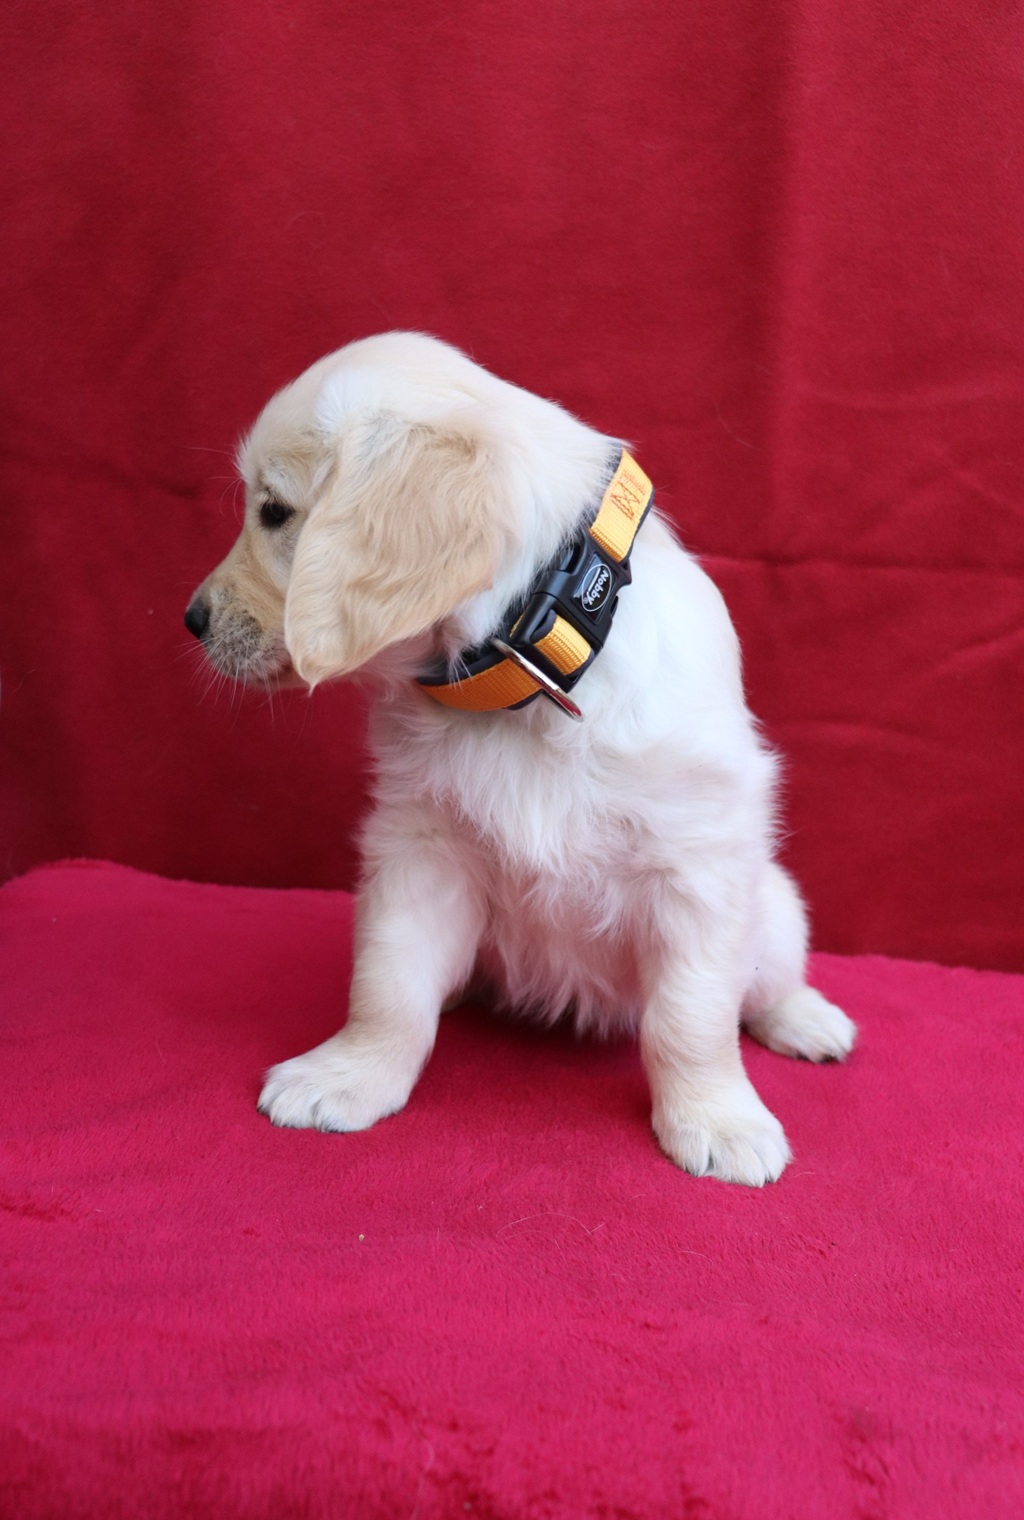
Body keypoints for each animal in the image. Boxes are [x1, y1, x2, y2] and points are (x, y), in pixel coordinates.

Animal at [185, 332, 855, 1185]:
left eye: (274, 511)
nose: (192, 619)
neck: (528, 682)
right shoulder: (417, 851)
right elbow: (388, 986)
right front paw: (351, 1072)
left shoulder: (698, 871)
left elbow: (691, 1018)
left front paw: (717, 1117)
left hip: (774, 905)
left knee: (767, 981)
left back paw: (807, 1019)